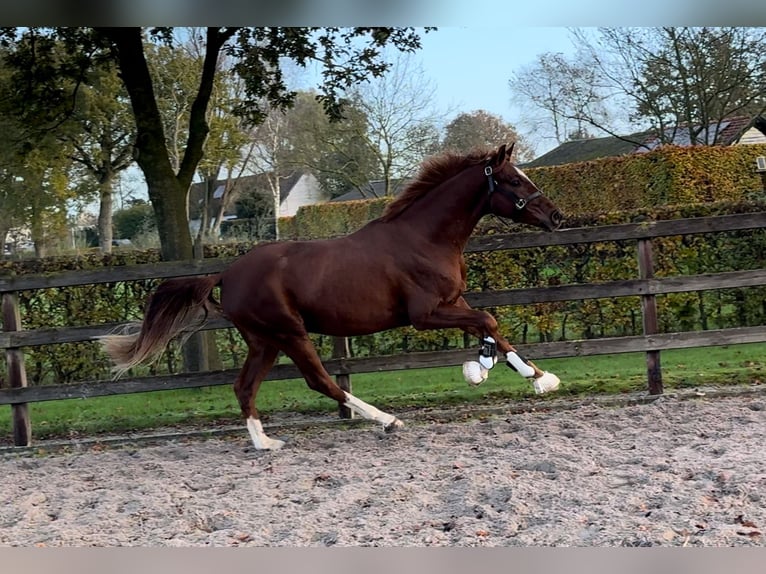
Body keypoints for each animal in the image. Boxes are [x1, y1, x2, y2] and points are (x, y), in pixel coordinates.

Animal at [100, 144, 564, 450]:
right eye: (514, 180)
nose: (557, 216)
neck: (424, 238)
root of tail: (226, 273)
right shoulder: (425, 313)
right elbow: (488, 321)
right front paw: (489, 371)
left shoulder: (453, 303)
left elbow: (491, 326)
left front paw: (532, 376)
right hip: (289, 333)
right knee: (320, 380)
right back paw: (386, 420)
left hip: (264, 341)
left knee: (244, 386)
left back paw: (265, 443)